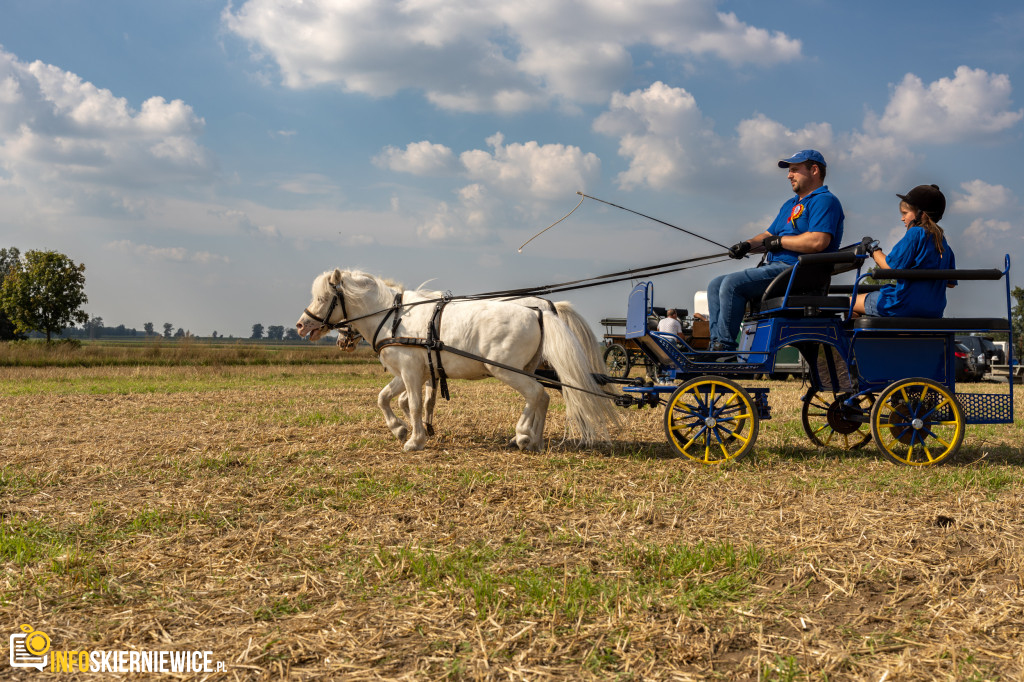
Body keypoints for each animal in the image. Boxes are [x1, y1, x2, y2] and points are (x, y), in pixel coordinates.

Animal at [292, 266, 618, 450]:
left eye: (322, 298)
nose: (300, 325)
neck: (394, 318)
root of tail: (539, 310)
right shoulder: (408, 372)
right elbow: (384, 398)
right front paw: (400, 429)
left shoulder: (412, 373)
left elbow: (413, 404)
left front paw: (415, 439)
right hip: (525, 369)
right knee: (542, 398)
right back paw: (533, 439)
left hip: (508, 371)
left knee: (537, 395)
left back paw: (525, 435)